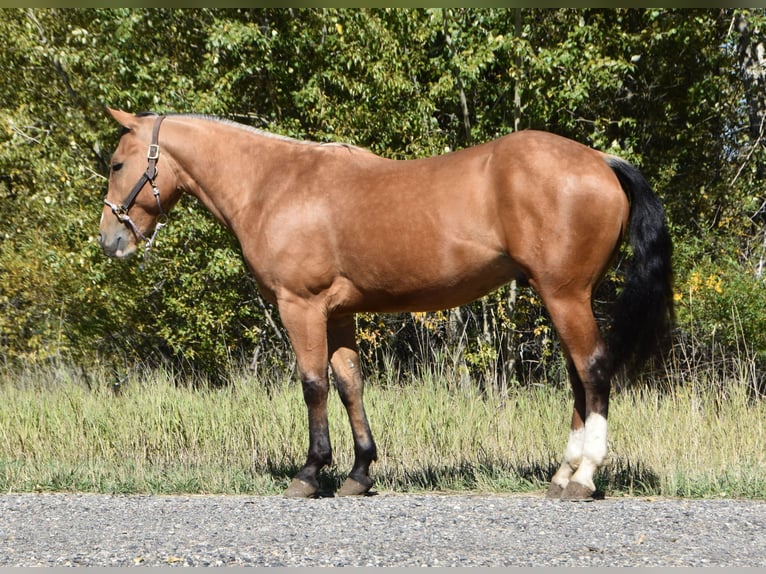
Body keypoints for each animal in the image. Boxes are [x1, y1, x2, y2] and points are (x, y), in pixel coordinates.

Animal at [98, 108, 673, 500]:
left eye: (117, 163)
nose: (109, 240)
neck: (274, 183)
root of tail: (600, 160)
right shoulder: (339, 314)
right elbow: (350, 383)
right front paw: (358, 473)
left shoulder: (301, 307)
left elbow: (313, 384)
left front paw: (310, 473)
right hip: (564, 297)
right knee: (579, 376)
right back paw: (562, 474)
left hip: (565, 294)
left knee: (593, 369)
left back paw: (584, 477)